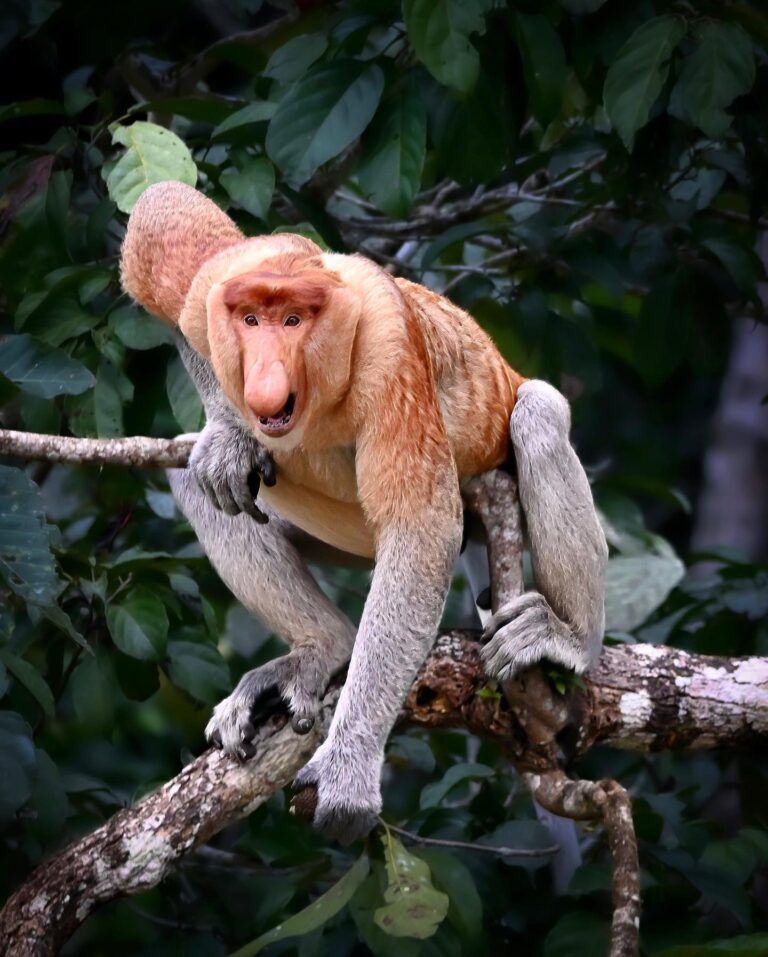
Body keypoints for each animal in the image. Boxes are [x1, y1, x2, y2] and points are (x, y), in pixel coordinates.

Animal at [121, 181, 607, 842]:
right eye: (250, 321)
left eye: (294, 321)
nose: (263, 380)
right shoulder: (215, 287)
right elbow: (164, 220)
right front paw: (229, 438)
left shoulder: (389, 353)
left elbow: (420, 530)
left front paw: (347, 774)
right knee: (192, 481)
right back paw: (322, 648)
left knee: (538, 415)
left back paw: (568, 639)